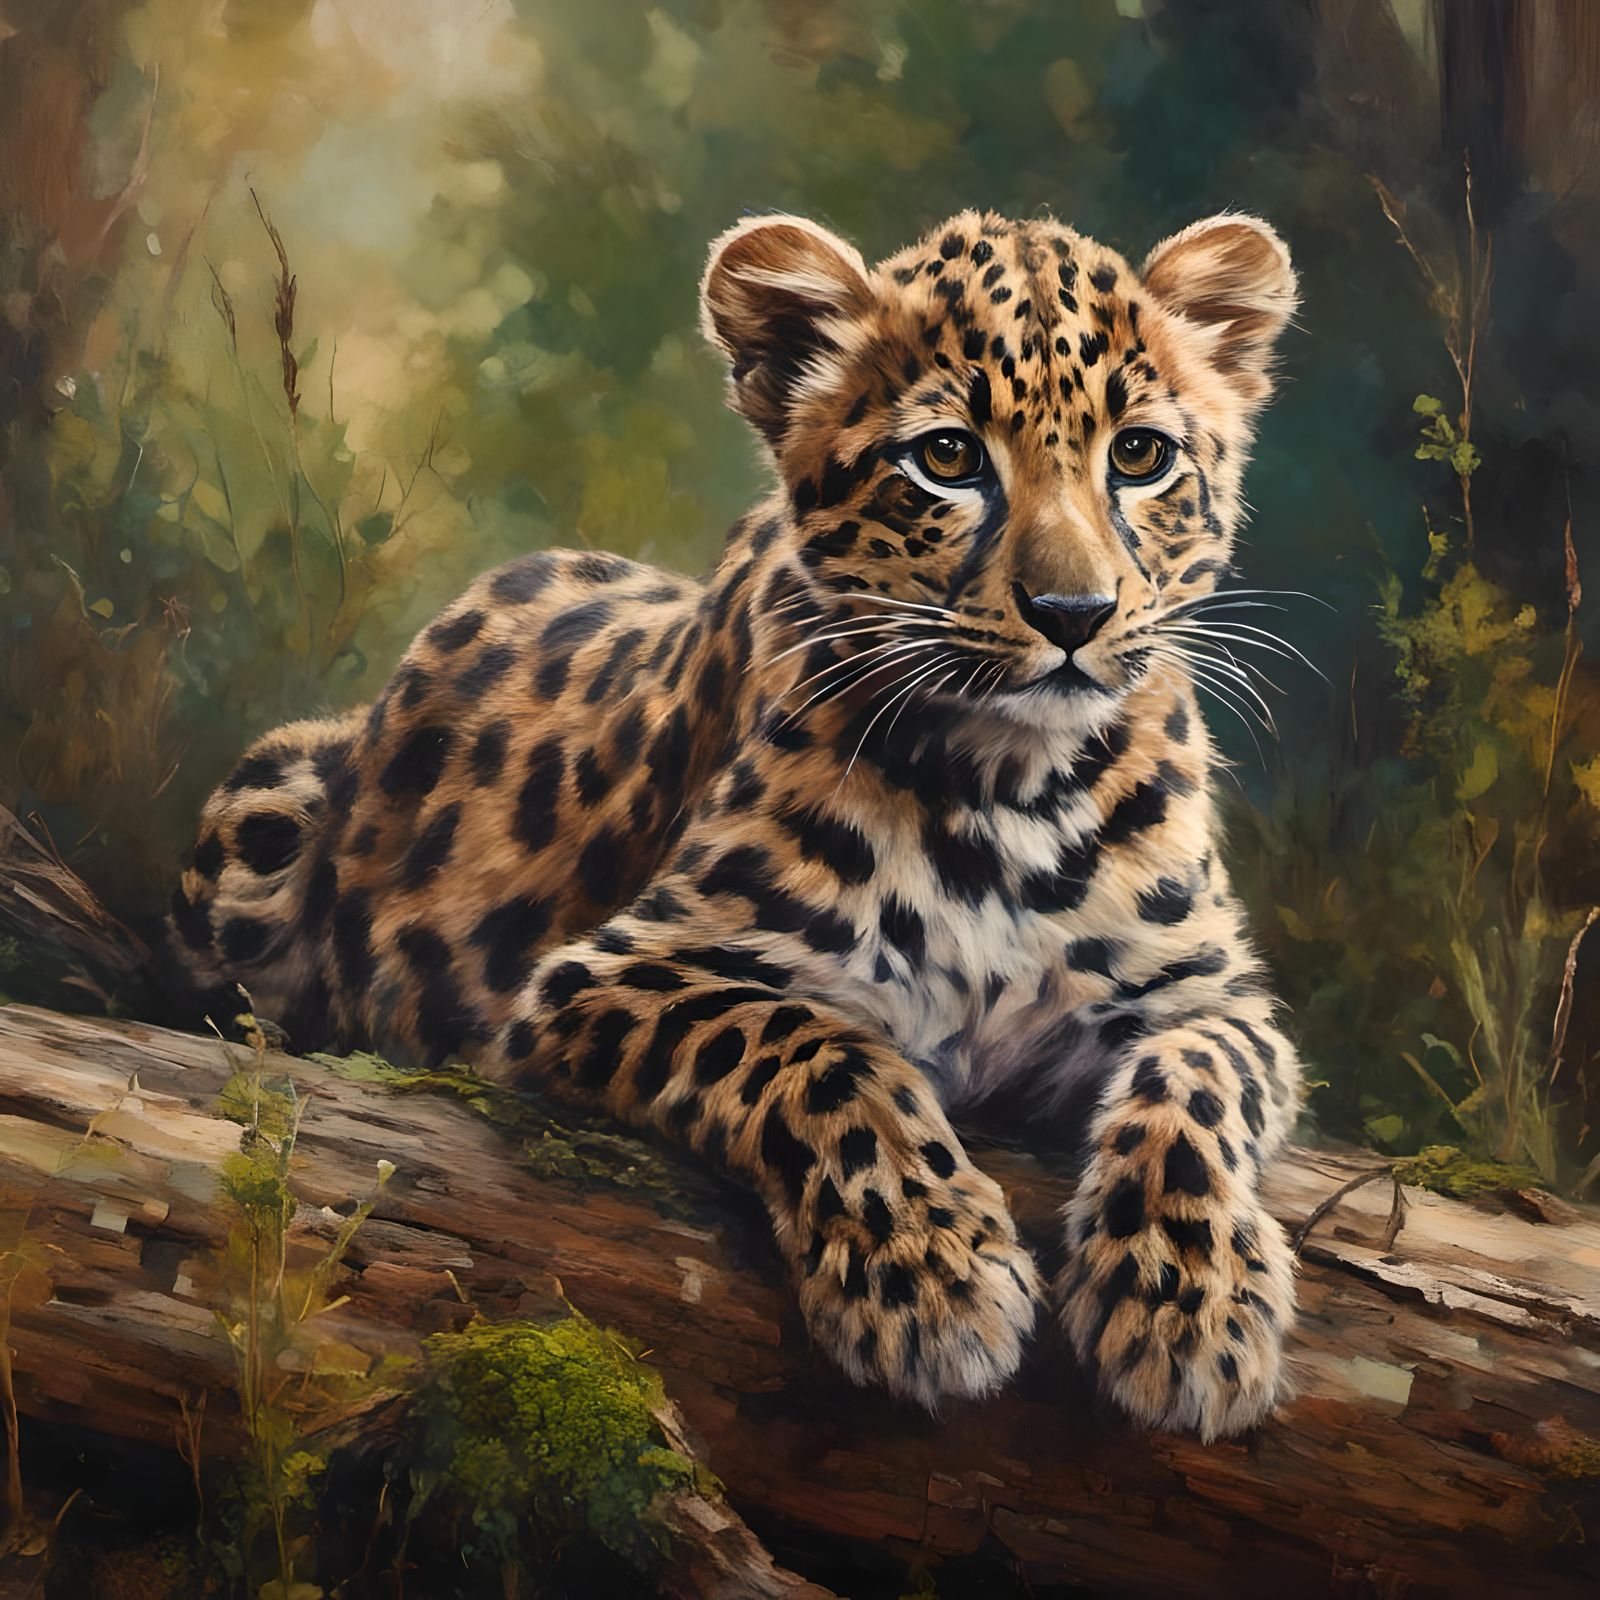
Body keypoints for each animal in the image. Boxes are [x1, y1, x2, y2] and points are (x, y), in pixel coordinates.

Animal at [167, 205, 1305, 1441]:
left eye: (1139, 456)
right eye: (948, 458)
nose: (1072, 614)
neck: (1016, 790)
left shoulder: (1203, 992)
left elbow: (1198, 1082)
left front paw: (1191, 1306)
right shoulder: (605, 973)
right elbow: (816, 1047)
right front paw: (931, 1280)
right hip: (271, 798)